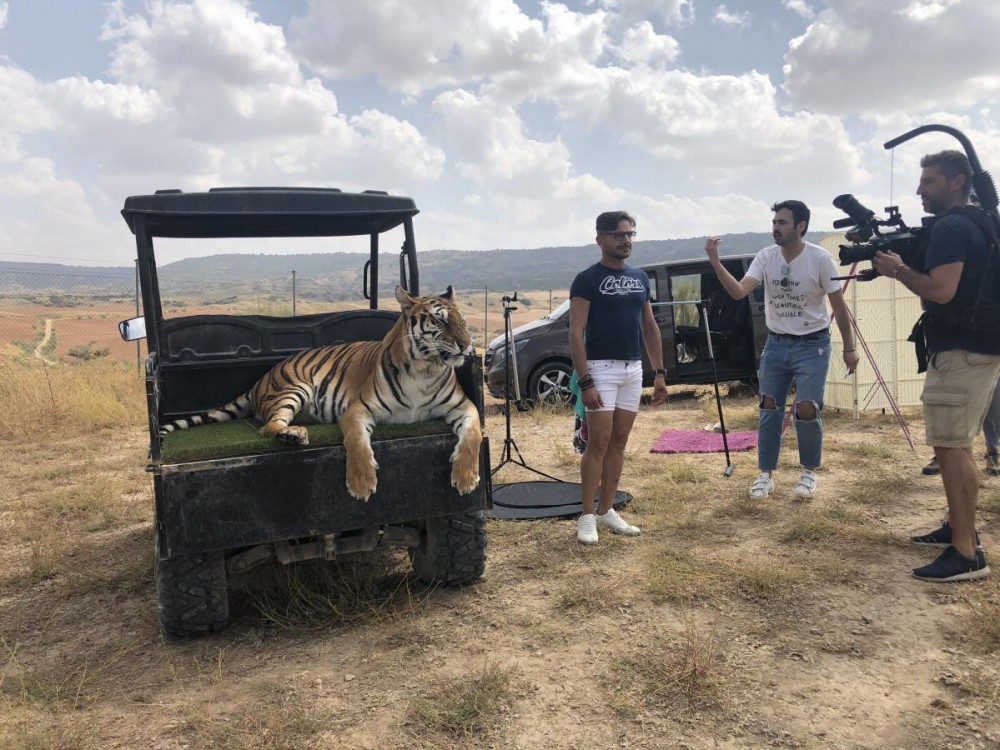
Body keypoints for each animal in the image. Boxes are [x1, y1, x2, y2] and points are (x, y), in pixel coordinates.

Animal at [159, 285, 482, 501]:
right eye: (440, 321)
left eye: (464, 322)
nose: (467, 345)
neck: (424, 368)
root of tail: (261, 379)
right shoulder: (358, 409)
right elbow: (356, 441)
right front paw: (361, 483)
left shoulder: (464, 406)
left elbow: (473, 435)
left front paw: (466, 478)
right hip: (294, 388)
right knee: (267, 426)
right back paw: (293, 434)